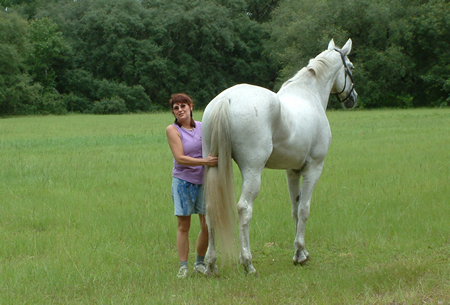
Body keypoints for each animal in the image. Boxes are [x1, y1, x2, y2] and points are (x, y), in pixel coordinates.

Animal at [202, 38, 356, 276]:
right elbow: (304, 209)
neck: (309, 95)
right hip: (253, 172)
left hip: (212, 166)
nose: (353, 99)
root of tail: (225, 100)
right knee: (244, 209)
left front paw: (300, 253)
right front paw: (301, 254)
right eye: (351, 67)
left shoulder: (292, 171)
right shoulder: (313, 168)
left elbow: (295, 209)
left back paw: (211, 265)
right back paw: (248, 263)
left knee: (210, 209)